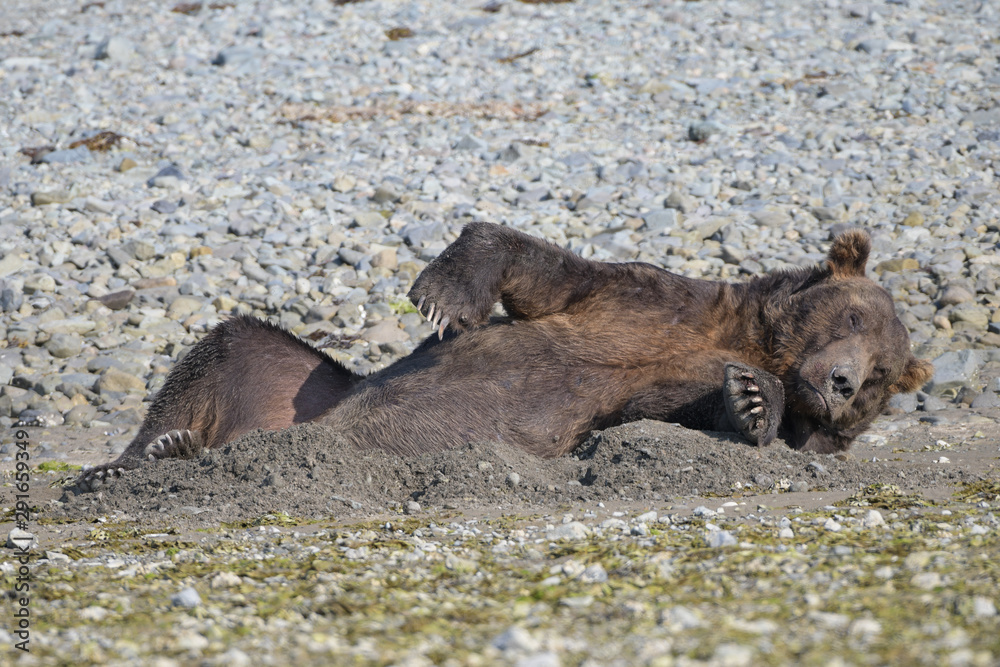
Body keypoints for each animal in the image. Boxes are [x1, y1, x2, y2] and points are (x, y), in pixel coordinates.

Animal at [76, 222, 933, 491]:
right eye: (853, 311)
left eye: (882, 378)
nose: (841, 379)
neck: (746, 335)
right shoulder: (648, 302)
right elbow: (546, 272)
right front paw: (445, 294)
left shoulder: (652, 373)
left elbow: (667, 409)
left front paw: (755, 401)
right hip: (297, 386)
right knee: (231, 345)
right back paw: (135, 455)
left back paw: (174, 452)